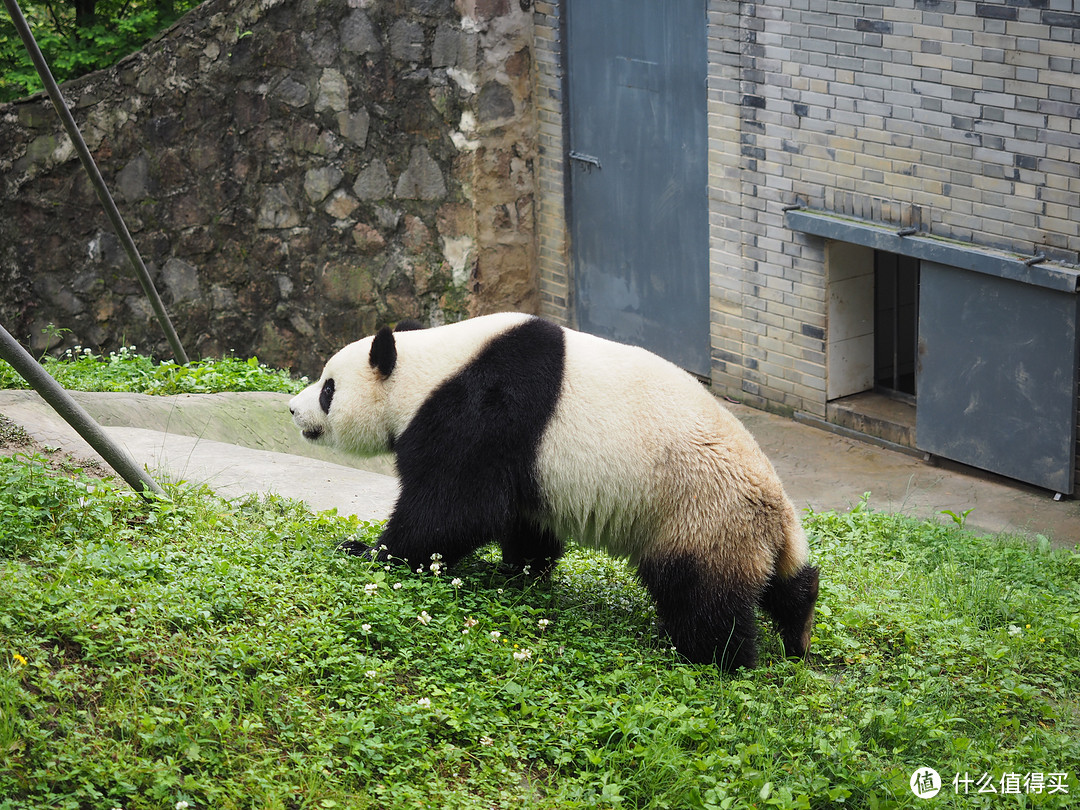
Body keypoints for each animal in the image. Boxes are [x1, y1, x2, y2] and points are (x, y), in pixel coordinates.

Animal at [289, 313, 816, 669]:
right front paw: (518, 573)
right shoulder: (522, 458)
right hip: (750, 532)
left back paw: (713, 658)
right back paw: (797, 636)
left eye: (328, 389)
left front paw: (367, 550)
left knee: (701, 598)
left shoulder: (484, 410)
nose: (294, 410)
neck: (429, 369)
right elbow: (521, 521)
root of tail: (777, 513)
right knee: (786, 583)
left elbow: (454, 510)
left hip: (700, 513)